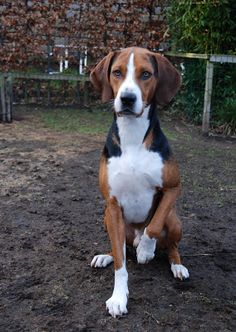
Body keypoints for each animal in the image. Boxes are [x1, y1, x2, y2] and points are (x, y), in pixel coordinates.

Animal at [89, 46, 189, 316]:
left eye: (145, 74)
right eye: (116, 72)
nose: (127, 98)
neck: (133, 135)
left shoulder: (173, 188)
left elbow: (153, 225)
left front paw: (146, 248)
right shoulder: (112, 205)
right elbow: (121, 263)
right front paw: (118, 297)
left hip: (175, 220)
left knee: (171, 246)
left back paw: (174, 264)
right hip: (106, 218)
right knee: (120, 249)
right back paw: (107, 255)